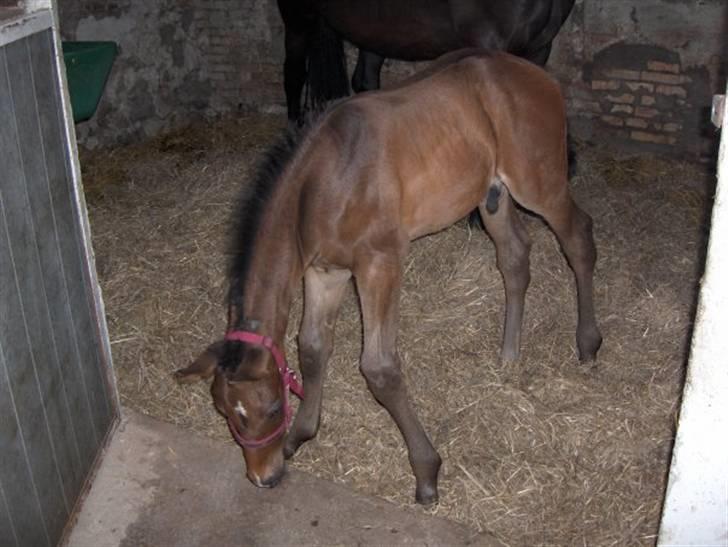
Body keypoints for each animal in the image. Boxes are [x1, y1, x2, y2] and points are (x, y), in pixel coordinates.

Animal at [173, 51, 600, 506]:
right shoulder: (325, 271)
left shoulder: (380, 263)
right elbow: (312, 347)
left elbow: (379, 368)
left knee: (578, 238)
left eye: (272, 406)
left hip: (539, 184)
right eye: (224, 411)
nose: (264, 478)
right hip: (493, 196)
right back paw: (508, 354)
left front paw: (427, 473)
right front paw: (299, 436)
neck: (323, 183)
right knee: (515, 256)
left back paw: (588, 345)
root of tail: (541, 77)